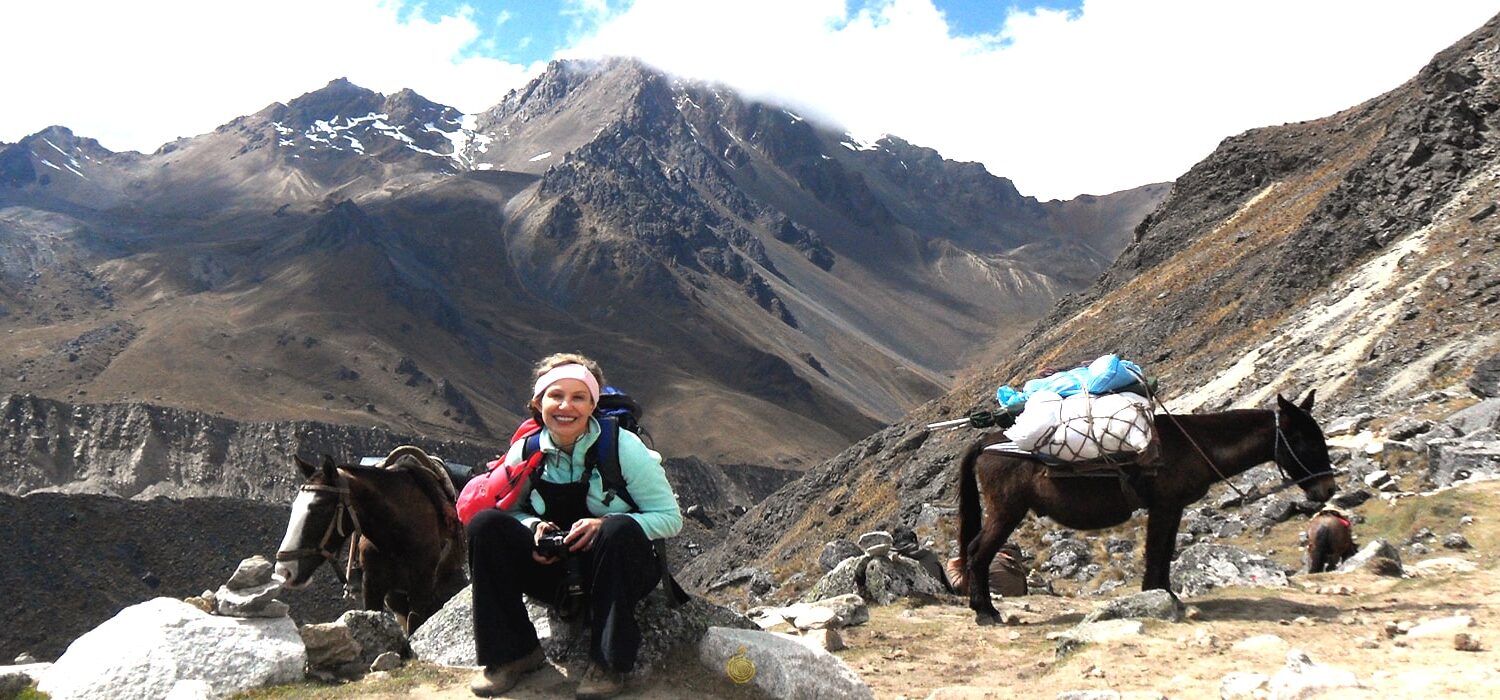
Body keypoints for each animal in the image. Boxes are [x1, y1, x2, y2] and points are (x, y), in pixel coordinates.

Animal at [960, 395, 1338, 623]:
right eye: (1303, 440)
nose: (1328, 490)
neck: (1195, 446)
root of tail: (986, 443)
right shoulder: (1164, 506)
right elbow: (1157, 550)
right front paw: (1155, 596)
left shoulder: (1173, 508)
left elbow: (1165, 551)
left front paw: (1166, 595)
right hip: (1007, 511)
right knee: (978, 553)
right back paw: (986, 613)